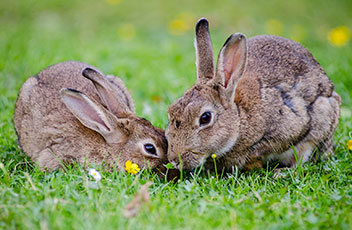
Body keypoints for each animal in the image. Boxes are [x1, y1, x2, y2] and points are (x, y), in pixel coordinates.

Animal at [165, 18, 340, 172]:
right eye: (170, 111)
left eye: (205, 118)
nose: (175, 161)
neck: (239, 119)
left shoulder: (291, 126)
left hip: (322, 118)